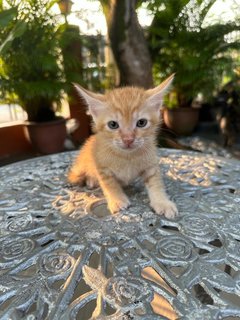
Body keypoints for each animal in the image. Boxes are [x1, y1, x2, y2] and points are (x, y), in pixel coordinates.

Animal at [67, 74, 178, 219]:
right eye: (113, 124)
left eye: (141, 122)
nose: (128, 139)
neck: (127, 157)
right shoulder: (102, 168)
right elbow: (110, 184)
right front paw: (117, 200)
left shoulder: (151, 165)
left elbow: (156, 183)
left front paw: (162, 202)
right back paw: (91, 180)